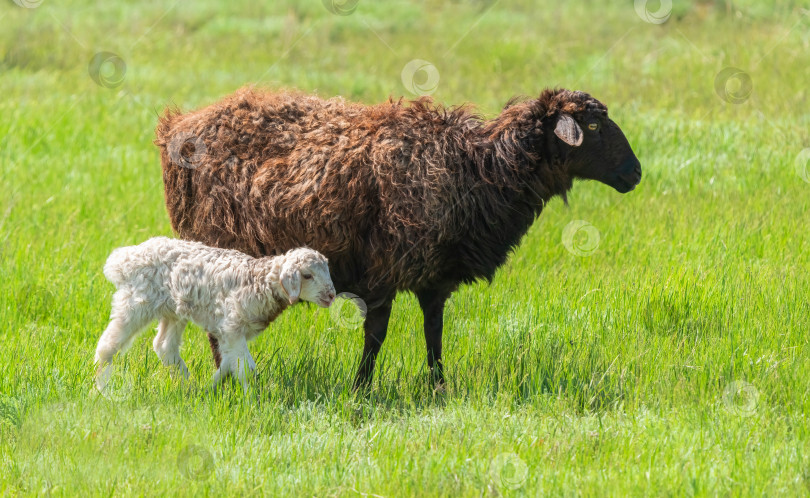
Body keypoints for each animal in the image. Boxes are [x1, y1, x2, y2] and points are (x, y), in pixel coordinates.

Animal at [93, 237, 332, 392]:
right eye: (307, 275)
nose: (331, 295)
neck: (258, 281)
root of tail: (126, 258)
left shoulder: (229, 332)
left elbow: (228, 364)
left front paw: (212, 389)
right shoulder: (233, 327)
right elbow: (246, 369)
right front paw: (253, 401)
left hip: (174, 309)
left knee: (163, 345)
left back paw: (187, 385)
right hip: (137, 302)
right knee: (107, 345)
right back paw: (102, 388)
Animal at [155, 85, 640, 390]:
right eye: (592, 127)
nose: (635, 173)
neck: (481, 169)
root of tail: (176, 128)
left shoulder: (435, 278)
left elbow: (434, 332)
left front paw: (439, 387)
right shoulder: (384, 270)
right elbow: (376, 335)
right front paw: (360, 390)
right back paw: (228, 380)